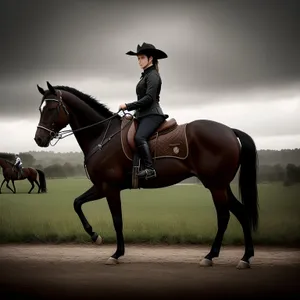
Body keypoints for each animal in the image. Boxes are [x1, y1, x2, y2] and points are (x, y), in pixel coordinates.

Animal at [32, 81, 258, 270]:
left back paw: (211, 256)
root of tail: (229, 130)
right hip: (221, 185)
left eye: (51, 109)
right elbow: (77, 203)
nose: (39, 139)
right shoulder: (101, 186)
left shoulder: (110, 188)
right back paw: (245, 257)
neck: (102, 134)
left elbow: (117, 220)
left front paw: (116, 253)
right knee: (241, 212)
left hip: (216, 186)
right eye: (40, 109)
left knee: (224, 217)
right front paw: (95, 236)